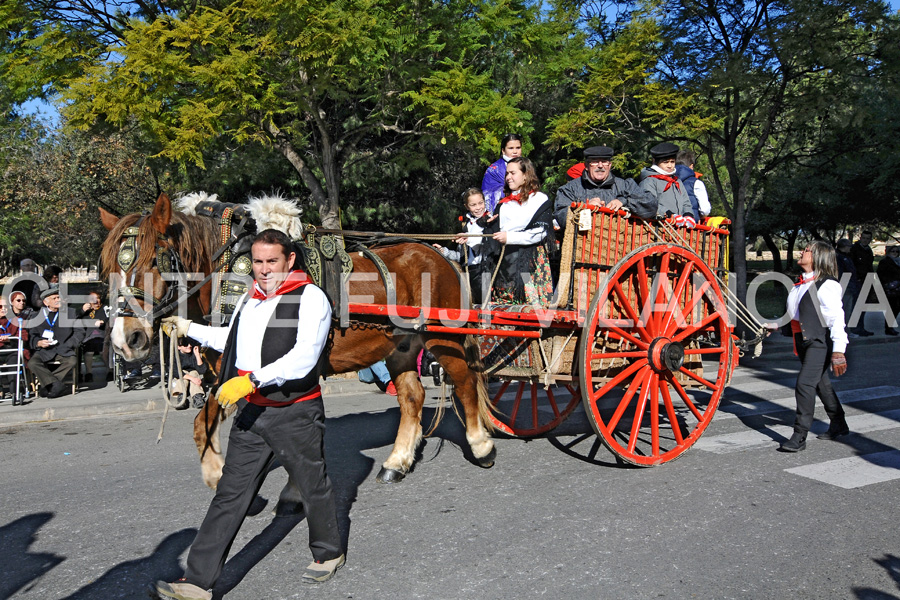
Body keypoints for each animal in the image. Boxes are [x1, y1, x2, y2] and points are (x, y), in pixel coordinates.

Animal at [98, 192, 496, 488]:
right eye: (110, 268)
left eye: (156, 260)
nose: (125, 339)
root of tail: (439, 255)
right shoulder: (230, 374)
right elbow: (203, 425)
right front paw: (217, 475)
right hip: (400, 346)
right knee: (412, 398)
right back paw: (397, 462)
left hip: (442, 337)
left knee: (464, 381)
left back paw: (481, 446)